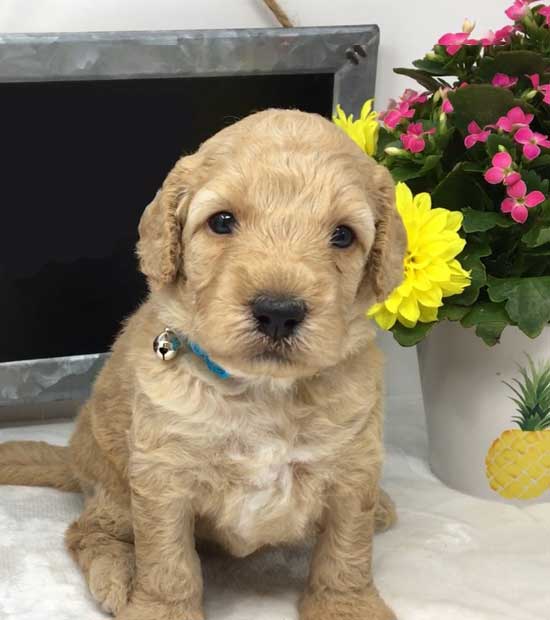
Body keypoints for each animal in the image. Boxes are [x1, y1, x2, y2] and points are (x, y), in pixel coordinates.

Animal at [0, 109, 406, 616]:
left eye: (344, 235)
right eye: (222, 221)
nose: (278, 311)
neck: (262, 391)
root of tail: (74, 458)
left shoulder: (354, 468)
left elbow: (346, 551)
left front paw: (347, 607)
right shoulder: (162, 477)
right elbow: (168, 562)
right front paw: (160, 609)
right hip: (115, 489)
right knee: (88, 530)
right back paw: (117, 575)